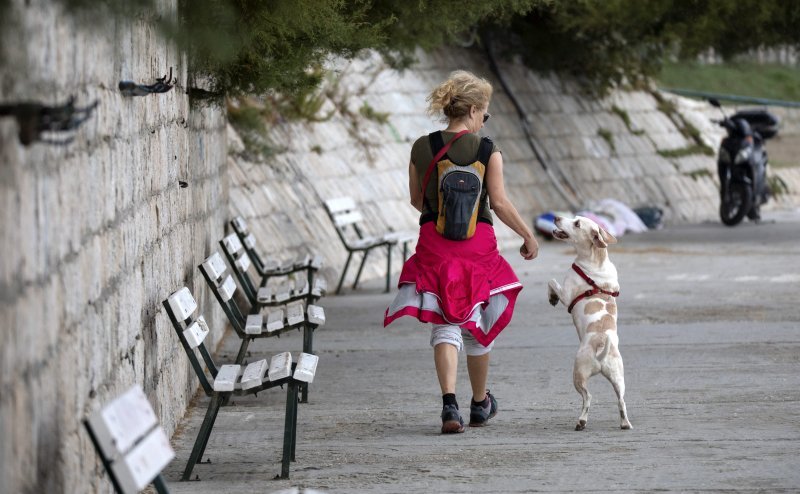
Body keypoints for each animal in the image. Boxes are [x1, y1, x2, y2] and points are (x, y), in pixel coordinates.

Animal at [552, 214, 632, 430]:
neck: (597, 260)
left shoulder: (566, 294)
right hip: (619, 378)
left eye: (577, 223)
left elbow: (552, 283)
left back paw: (581, 421)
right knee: (621, 400)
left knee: (588, 397)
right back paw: (625, 423)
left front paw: (551, 298)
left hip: (578, 375)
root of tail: (601, 347)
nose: (556, 217)